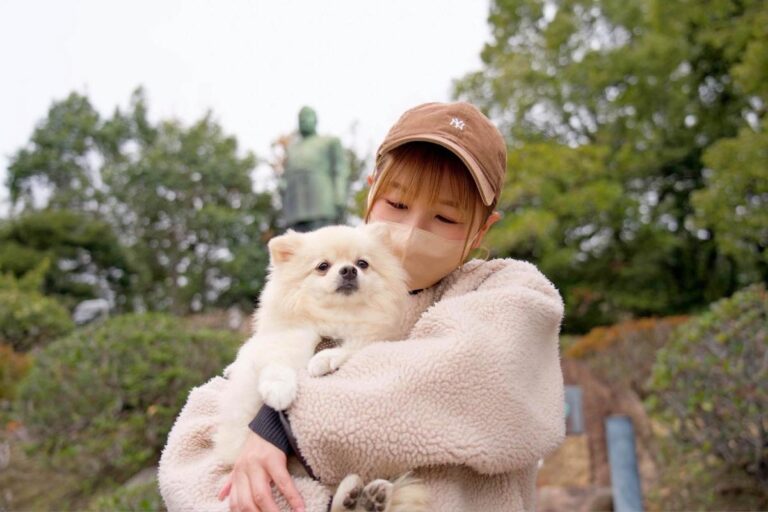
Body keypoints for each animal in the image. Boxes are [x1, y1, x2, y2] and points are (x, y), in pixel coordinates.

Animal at [213, 223, 429, 512]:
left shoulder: (373, 339)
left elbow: (352, 347)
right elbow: (275, 364)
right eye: (323, 266)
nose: (348, 270)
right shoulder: (278, 343)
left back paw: (364, 497)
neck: (335, 320)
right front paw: (278, 391)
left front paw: (324, 359)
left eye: (362, 263)